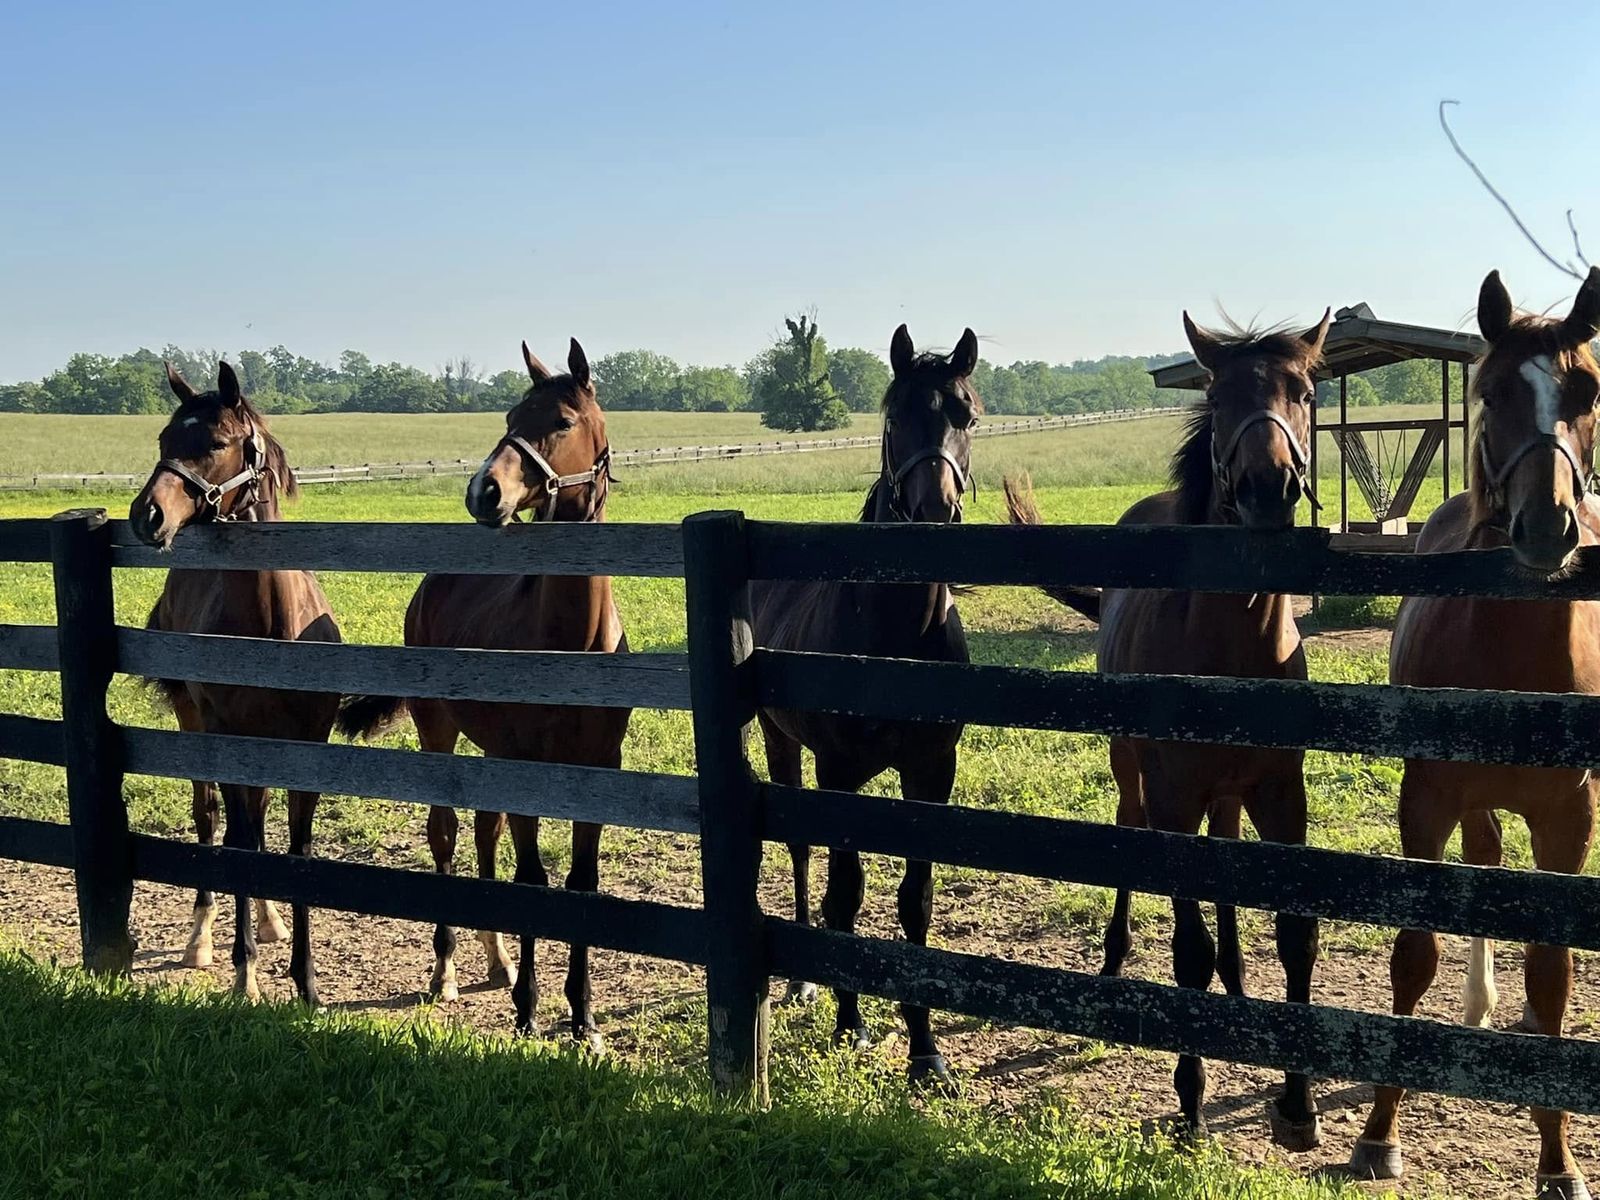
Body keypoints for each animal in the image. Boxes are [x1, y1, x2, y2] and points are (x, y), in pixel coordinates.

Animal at [128, 361, 341, 1005]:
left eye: (217, 443)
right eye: (164, 440)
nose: (146, 516)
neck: (270, 628)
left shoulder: (306, 744)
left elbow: (294, 845)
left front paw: (306, 981)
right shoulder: (225, 735)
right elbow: (238, 839)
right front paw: (243, 973)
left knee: (255, 813)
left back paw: (269, 922)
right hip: (195, 723)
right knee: (210, 817)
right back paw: (201, 940)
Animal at [339, 338, 627, 1046]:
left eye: (562, 422)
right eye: (510, 414)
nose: (483, 490)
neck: (571, 642)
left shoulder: (597, 771)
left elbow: (580, 881)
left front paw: (583, 1016)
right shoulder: (523, 765)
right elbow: (532, 877)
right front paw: (528, 1009)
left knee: (482, 830)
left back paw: (496, 962)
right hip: (438, 729)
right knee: (444, 834)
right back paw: (445, 971)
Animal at [752, 324, 978, 1088]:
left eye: (967, 414)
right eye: (893, 416)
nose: (935, 510)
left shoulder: (931, 773)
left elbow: (916, 904)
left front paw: (927, 1053)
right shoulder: (840, 772)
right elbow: (844, 893)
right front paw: (851, 1023)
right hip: (778, 740)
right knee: (799, 851)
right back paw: (803, 981)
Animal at [1006, 311, 1331, 1148]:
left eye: (1306, 392)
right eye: (1218, 395)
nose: (1267, 487)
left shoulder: (1282, 792)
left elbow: (1296, 935)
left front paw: (1299, 1103)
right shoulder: (1175, 796)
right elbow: (1188, 948)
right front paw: (1191, 1098)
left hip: (1227, 795)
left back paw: (1238, 987)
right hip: (1134, 772)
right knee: (1130, 833)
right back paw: (1115, 962)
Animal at [1349, 268, 1600, 1200]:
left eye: (1586, 392)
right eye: (1492, 394)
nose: (1547, 529)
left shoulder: (1568, 817)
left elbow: (1555, 971)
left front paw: (1558, 1160)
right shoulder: (1427, 795)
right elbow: (1413, 955)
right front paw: (1379, 1133)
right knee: (1486, 867)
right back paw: (1482, 1007)